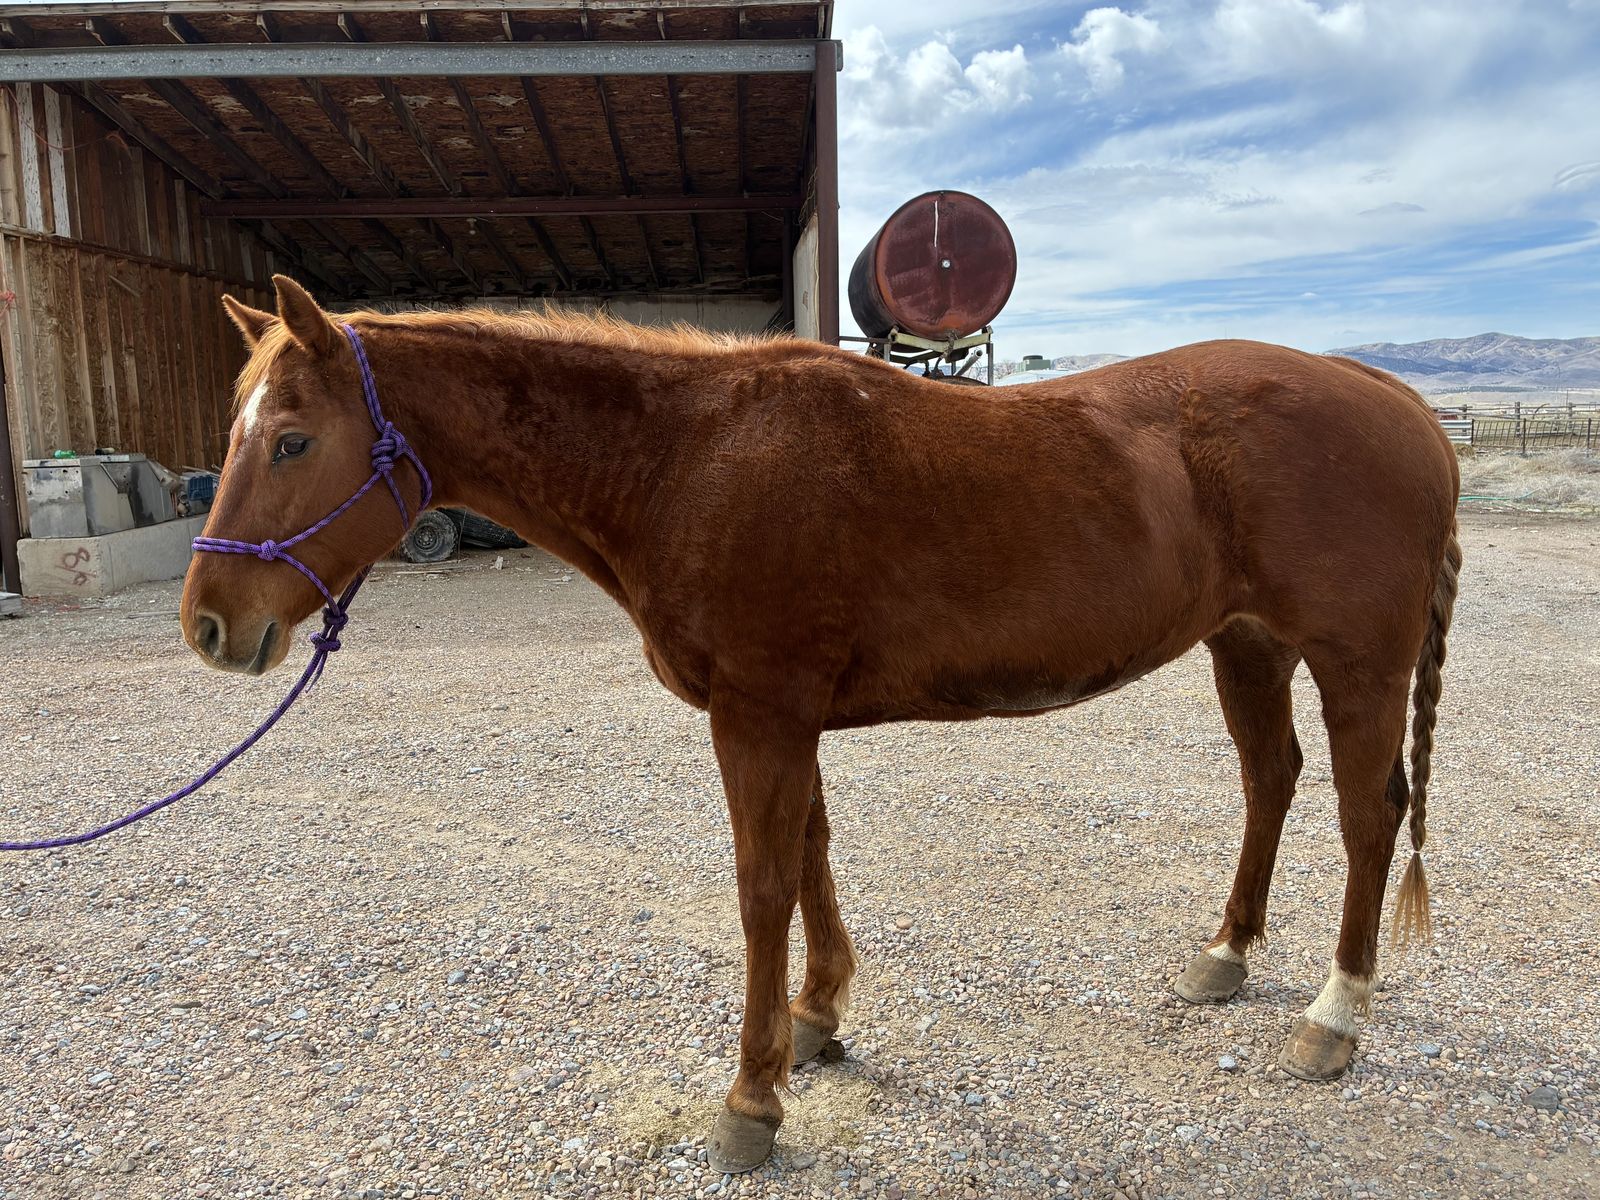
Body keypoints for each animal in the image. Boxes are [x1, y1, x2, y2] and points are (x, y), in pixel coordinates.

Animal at [183, 276, 1461, 1173]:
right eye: (237, 431)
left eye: (291, 439)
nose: (208, 622)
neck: (688, 457)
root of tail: (1398, 398)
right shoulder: (784, 715)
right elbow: (809, 860)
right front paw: (817, 1019)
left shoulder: (759, 715)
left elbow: (761, 887)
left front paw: (751, 1099)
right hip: (1245, 643)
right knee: (1269, 780)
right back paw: (1226, 955)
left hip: (1354, 662)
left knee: (1365, 814)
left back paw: (1334, 1014)